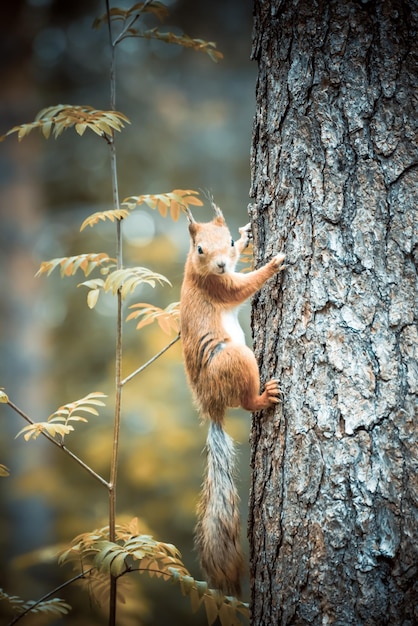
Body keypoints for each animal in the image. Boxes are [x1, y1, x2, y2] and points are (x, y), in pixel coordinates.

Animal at [178, 196, 286, 596]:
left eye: (224, 239)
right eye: (200, 249)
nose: (222, 263)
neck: (195, 269)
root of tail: (212, 408)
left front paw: (246, 235)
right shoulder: (219, 287)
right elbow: (244, 287)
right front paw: (272, 264)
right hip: (236, 359)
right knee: (246, 402)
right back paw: (264, 397)